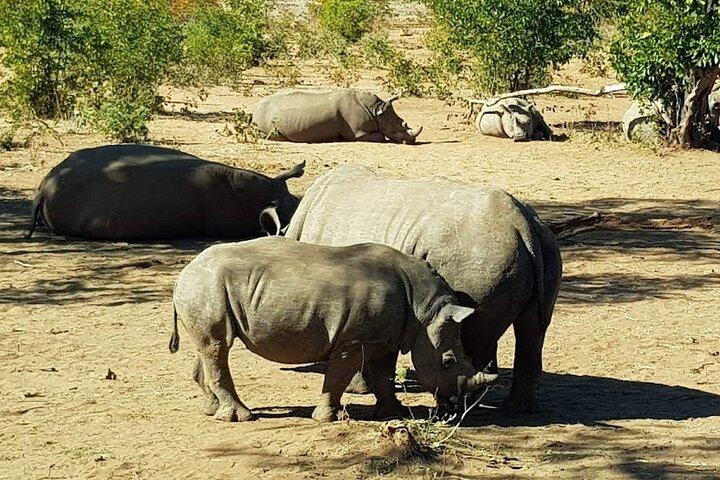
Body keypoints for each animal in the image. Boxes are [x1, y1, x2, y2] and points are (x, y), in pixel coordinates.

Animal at [169, 237, 496, 422]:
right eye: (449, 362)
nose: (455, 409)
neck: (424, 308)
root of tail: (183, 273)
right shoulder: (354, 339)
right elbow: (339, 375)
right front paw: (329, 418)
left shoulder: (385, 337)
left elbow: (384, 375)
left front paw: (396, 414)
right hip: (206, 286)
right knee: (217, 347)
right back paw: (241, 417)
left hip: (206, 289)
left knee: (210, 346)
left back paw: (211, 410)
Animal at [251, 89, 422, 144]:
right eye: (396, 130)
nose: (412, 141)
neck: (376, 111)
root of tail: (255, 111)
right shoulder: (358, 134)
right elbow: (380, 135)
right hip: (264, 119)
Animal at [285, 165, 562, 413]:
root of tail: (522, 224)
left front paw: (358, 389)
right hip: (545, 248)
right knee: (532, 330)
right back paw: (517, 409)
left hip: (477, 259)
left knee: (472, 333)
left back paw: (457, 409)